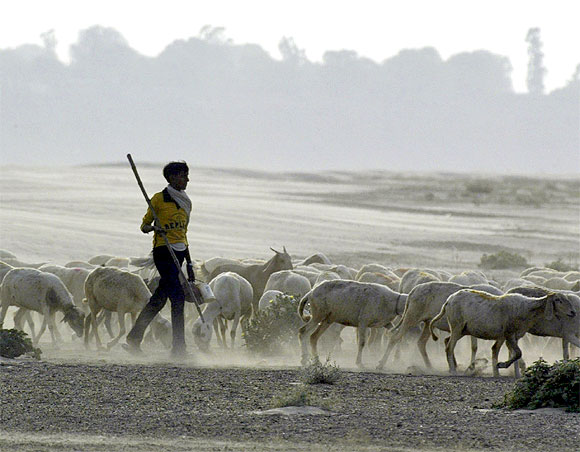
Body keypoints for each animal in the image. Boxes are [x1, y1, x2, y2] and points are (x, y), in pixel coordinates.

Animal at [430, 290, 576, 378]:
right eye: (558, 300)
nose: (573, 312)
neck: (527, 309)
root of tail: (448, 300)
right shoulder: (509, 334)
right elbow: (518, 353)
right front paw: (501, 366)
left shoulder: (510, 336)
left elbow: (504, 352)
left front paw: (502, 372)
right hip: (457, 326)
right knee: (449, 347)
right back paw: (453, 371)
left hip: (462, 329)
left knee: (447, 341)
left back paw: (454, 367)